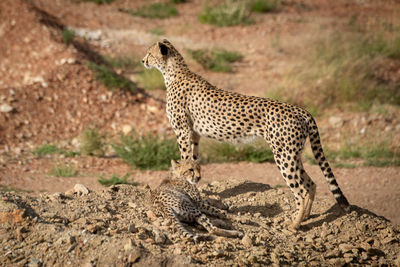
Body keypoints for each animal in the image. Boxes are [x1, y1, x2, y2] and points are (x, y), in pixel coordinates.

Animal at [143, 39, 350, 230]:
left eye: (149, 53)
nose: (142, 60)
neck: (174, 72)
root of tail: (299, 109)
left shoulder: (183, 131)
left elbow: (185, 158)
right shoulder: (194, 134)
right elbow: (193, 159)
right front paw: (192, 183)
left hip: (284, 156)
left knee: (302, 190)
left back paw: (294, 225)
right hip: (293, 154)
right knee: (311, 184)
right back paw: (304, 218)